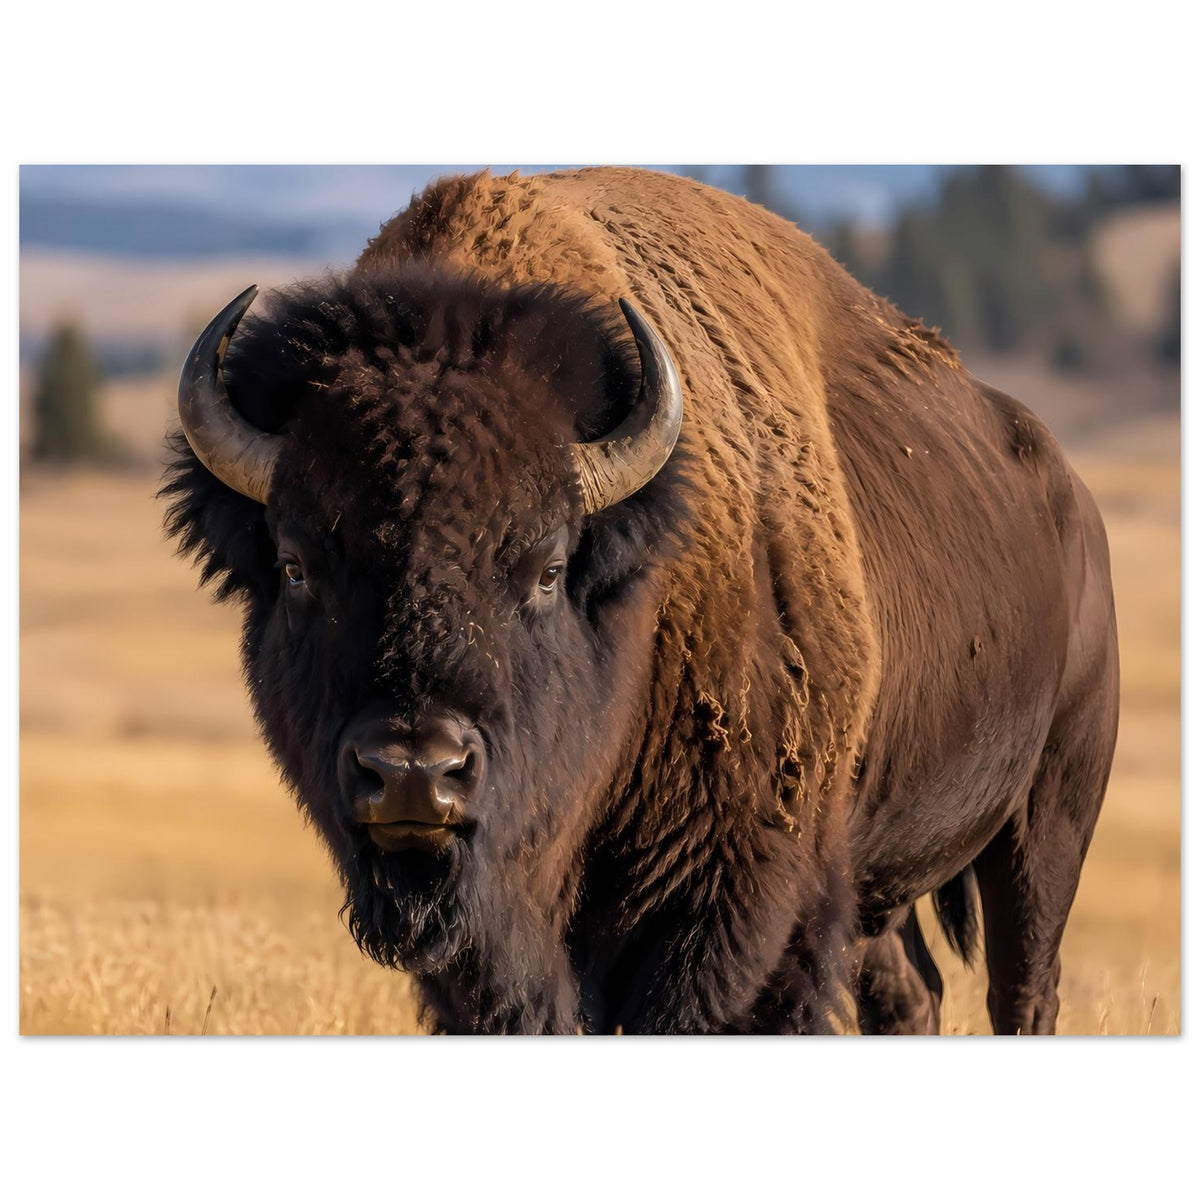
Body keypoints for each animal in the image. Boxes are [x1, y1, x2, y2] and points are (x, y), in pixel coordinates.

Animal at [164, 167, 1119, 1034]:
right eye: (295, 567)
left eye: (546, 568)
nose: (413, 772)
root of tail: (1072, 499)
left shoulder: (733, 910)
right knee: (910, 992)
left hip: (1048, 816)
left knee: (1023, 985)